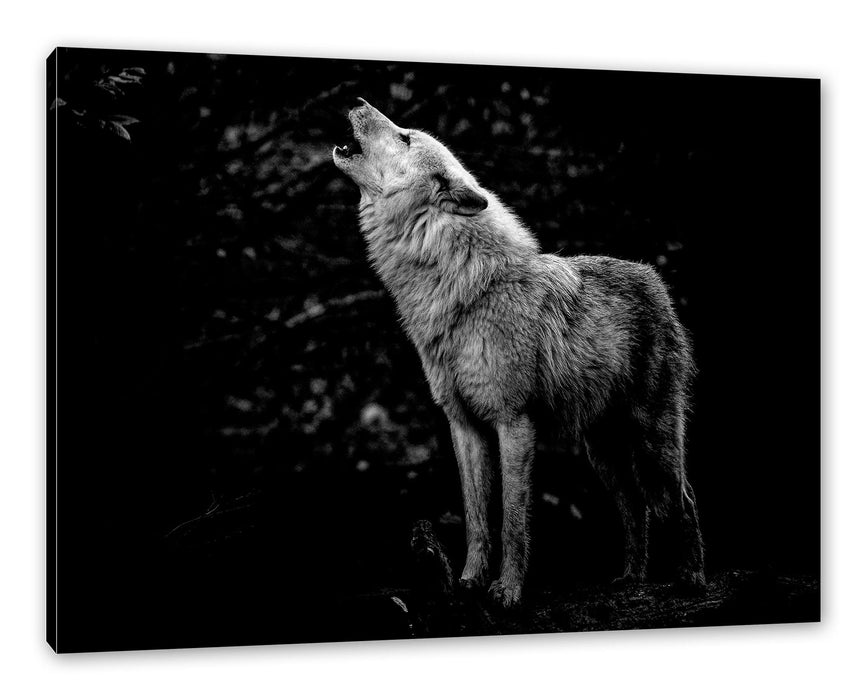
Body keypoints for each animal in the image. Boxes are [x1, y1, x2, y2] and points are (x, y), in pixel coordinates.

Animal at [333, 99, 705, 607]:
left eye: (406, 136)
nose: (358, 102)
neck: (464, 289)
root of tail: (655, 278)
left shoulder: (514, 422)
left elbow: (512, 518)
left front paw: (507, 591)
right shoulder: (463, 425)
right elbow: (475, 518)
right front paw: (469, 581)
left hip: (652, 438)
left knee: (682, 500)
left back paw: (692, 579)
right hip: (601, 450)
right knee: (634, 505)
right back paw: (631, 578)